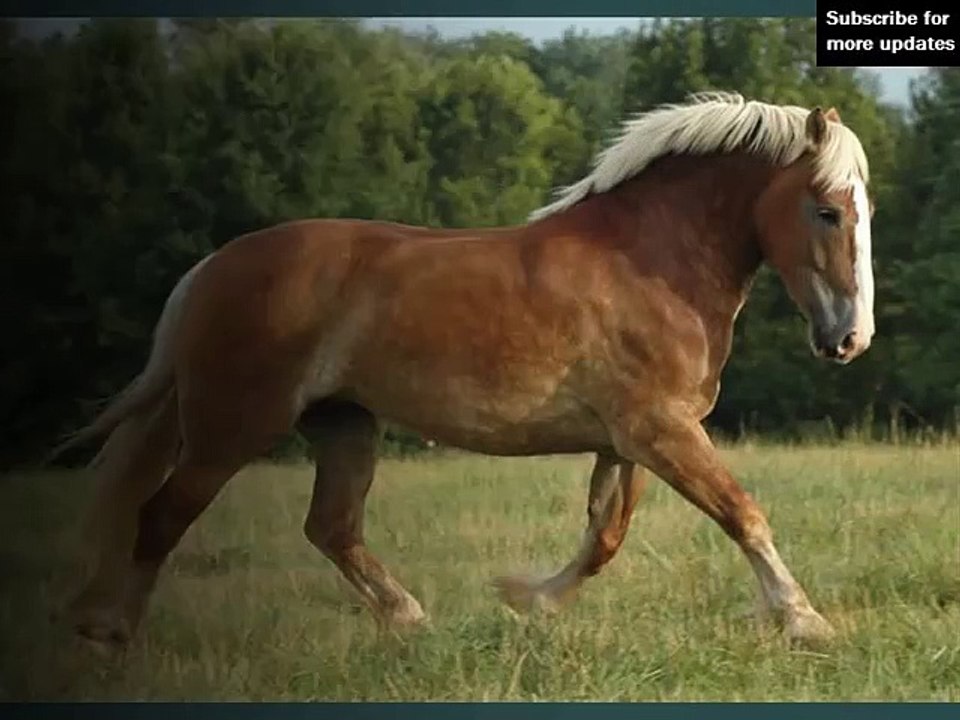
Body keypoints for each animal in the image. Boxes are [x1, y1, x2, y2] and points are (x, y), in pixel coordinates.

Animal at [52, 92, 876, 649]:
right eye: (827, 211)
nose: (849, 339)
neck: (650, 260)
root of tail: (212, 268)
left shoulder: (629, 440)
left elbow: (603, 537)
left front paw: (527, 600)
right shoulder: (661, 431)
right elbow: (742, 513)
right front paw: (806, 621)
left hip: (344, 425)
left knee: (331, 526)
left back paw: (409, 618)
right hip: (232, 426)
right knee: (162, 515)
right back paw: (115, 635)